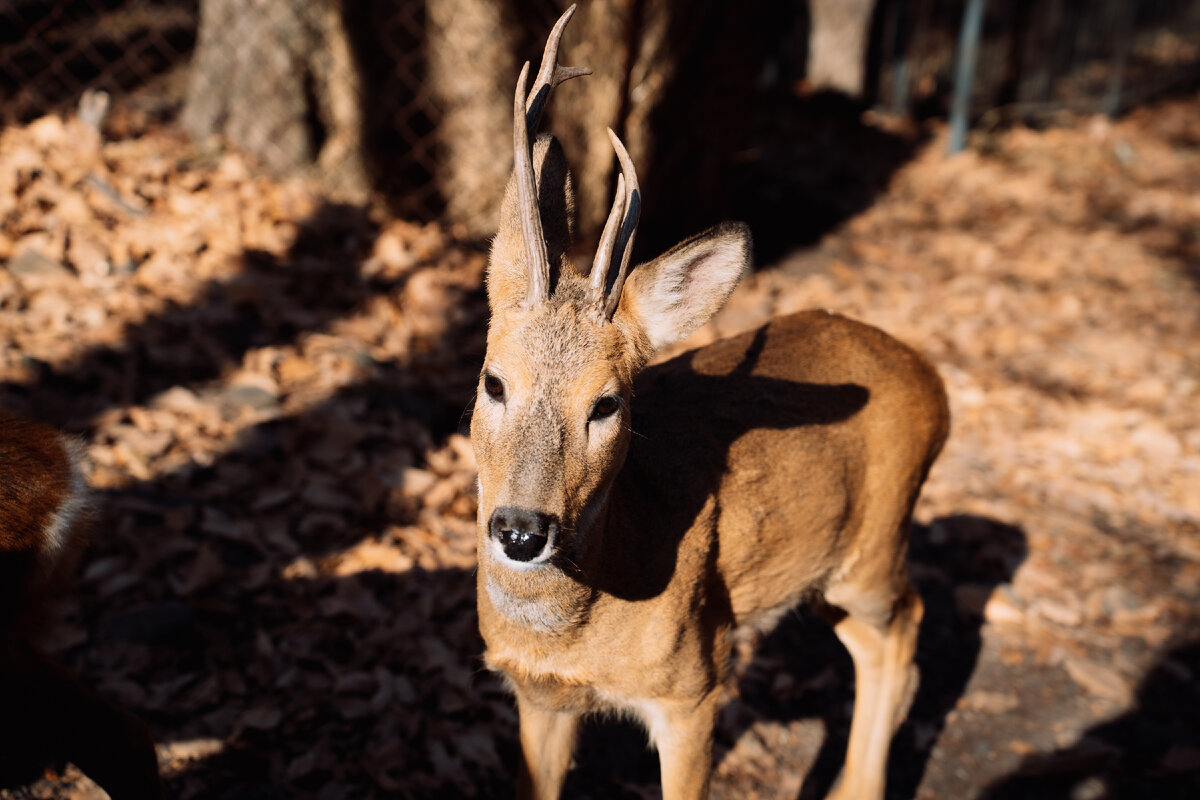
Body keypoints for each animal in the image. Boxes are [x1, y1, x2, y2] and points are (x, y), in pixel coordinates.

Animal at [472, 7, 950, 800]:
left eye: (609, 403)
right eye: (493, 381)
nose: (520, 529)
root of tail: (931, 378)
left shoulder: (693, 686)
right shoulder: (539, 696)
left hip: (878, 545)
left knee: (908, 622)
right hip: (824, 570)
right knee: (870, 642)